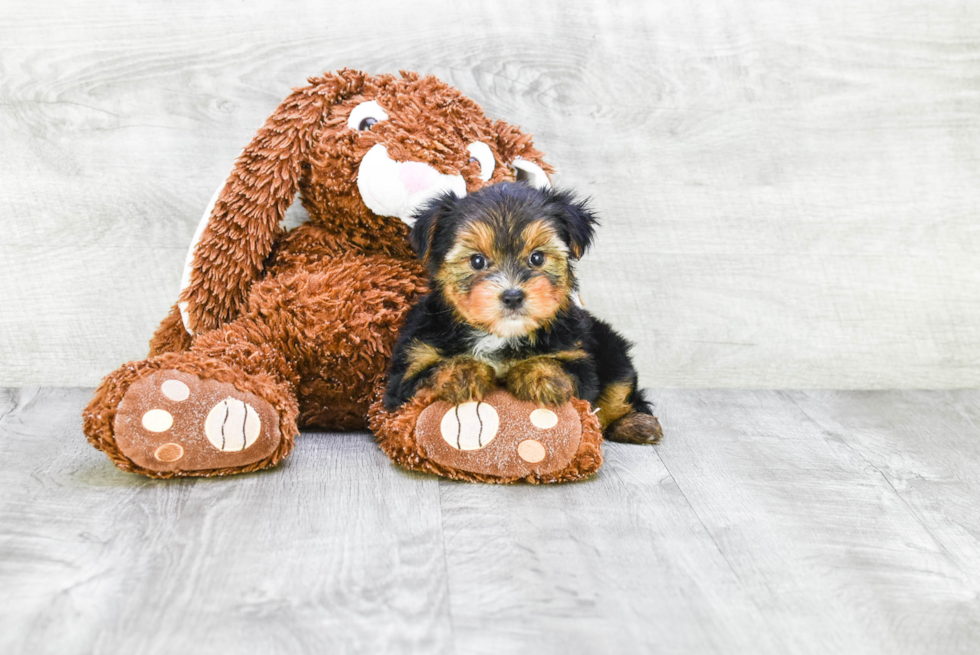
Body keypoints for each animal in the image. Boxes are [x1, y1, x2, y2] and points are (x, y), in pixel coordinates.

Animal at [380, 182, 660, 444]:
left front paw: (539, 374)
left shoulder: (576, 356)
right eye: (477, 261)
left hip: (612, 348)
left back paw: (637, 425)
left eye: (537, 258)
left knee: (617, 390)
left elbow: (567, 372)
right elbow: (425, 375)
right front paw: (463, 371)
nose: (513, 296)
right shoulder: (406, 372)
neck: (500, 336)